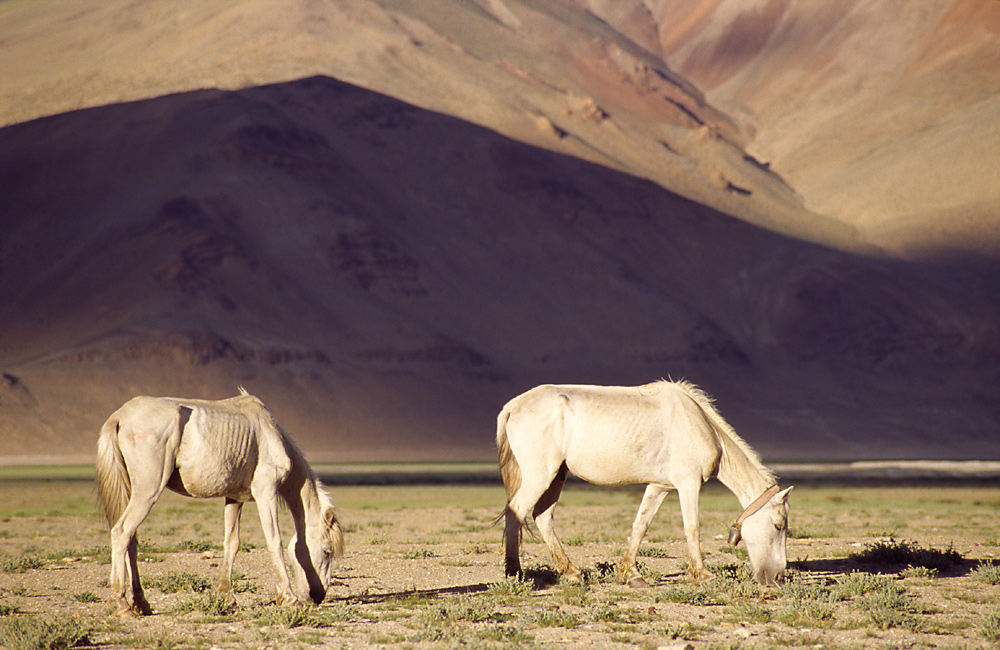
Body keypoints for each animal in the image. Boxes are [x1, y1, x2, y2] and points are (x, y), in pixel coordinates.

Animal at [95, 388, 344, 616]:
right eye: (327, 551)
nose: (319, 596)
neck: (269, 434)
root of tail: (119, 416)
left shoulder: (234, 498)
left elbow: (231, 543)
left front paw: (227, 596)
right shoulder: (266, 493)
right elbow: (274, 541)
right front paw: (289, 597)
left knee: (131, 540)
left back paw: (140, 603)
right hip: (147, 491)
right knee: (122, 532)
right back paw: (122, 604)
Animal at [496, 378, 792, 584]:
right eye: (778, 526)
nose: (776, 577)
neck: (700, 424)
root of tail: (512, 406)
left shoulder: (660, 487)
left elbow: (641, 525)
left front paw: (631, 573)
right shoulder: (688, 483)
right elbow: (692, 527)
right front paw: (703, 575)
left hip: (556, 475)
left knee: (543, 518)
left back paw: (571, 572)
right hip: (541, 475)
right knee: (516, 512)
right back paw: (515, 573)